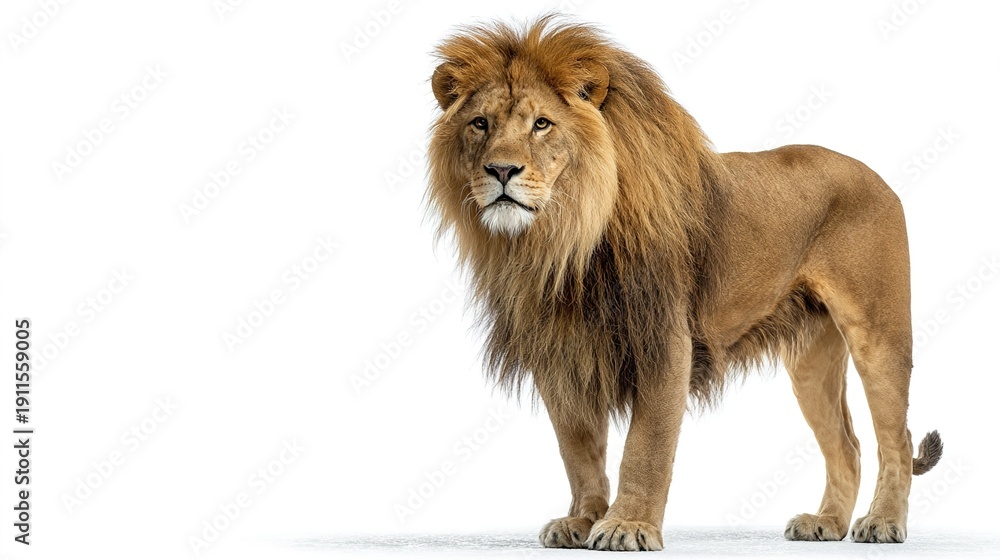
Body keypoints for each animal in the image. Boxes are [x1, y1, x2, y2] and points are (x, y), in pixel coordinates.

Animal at [426, 16, 943, 551]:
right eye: (480, 123)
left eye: (541, 124)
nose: (501, 170)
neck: (562, 241)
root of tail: (877, 176)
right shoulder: (562, 350)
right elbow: (578, 450)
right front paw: (582, 520)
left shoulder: (665, 340)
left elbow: (646, 445)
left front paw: (627, 526)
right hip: (810, 357)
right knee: (847, 444)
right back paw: (826, 522)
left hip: (878, 333)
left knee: (895, 438)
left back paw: (883, 522)